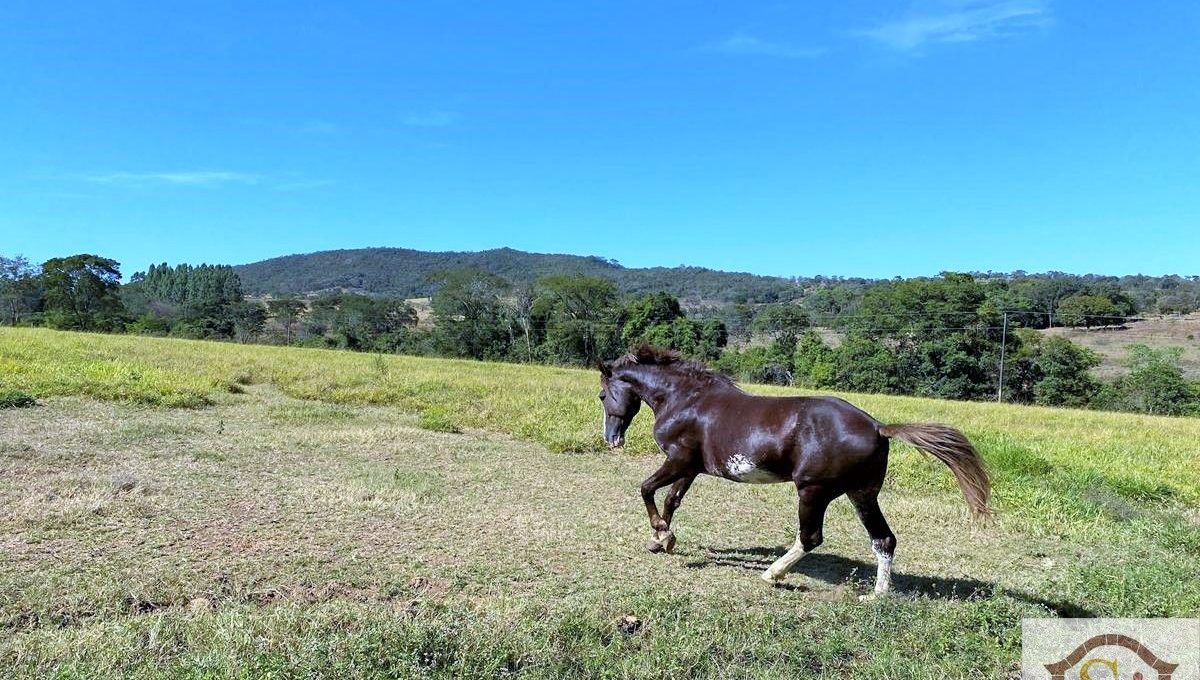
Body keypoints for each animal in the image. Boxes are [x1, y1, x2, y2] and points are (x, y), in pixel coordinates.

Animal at [595, 345, 988, 594]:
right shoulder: (691, 466)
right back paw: (876, 595)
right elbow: (672, 500)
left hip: (813, 491)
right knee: (884, 539)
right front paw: (662, 540)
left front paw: (662, 534)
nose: (611, 439)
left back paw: (773, 574)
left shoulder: (677, 460)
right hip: (862, 493)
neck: (686, 399)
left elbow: (647, 489)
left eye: (602, 396)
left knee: (810, 537)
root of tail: (878, 426)